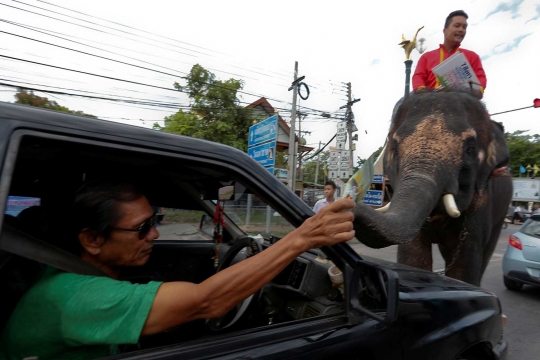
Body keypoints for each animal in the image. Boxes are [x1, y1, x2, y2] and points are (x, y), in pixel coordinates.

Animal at [352, 90, 512, 286]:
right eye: (395, 149)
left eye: (470, 149)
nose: (349, 205)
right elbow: (413, 257)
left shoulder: (482, 199)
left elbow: (464, 267)